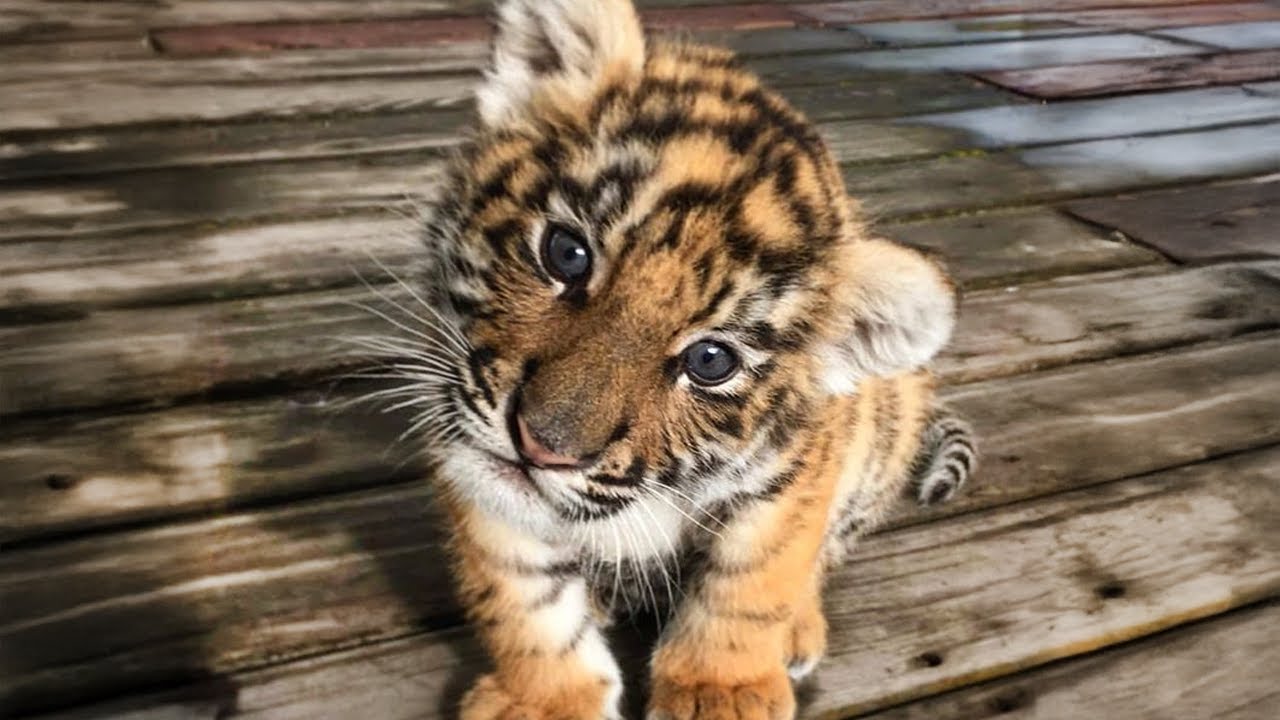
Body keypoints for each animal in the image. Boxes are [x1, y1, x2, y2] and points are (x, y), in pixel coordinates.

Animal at [390, 0, 977, 717]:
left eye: (710, 361)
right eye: (566, 253)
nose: (541, 447)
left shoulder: (790, 478)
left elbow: (750, 581)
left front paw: (720, 690)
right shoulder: (471, 460)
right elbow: (522, 595)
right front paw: (547, 698)